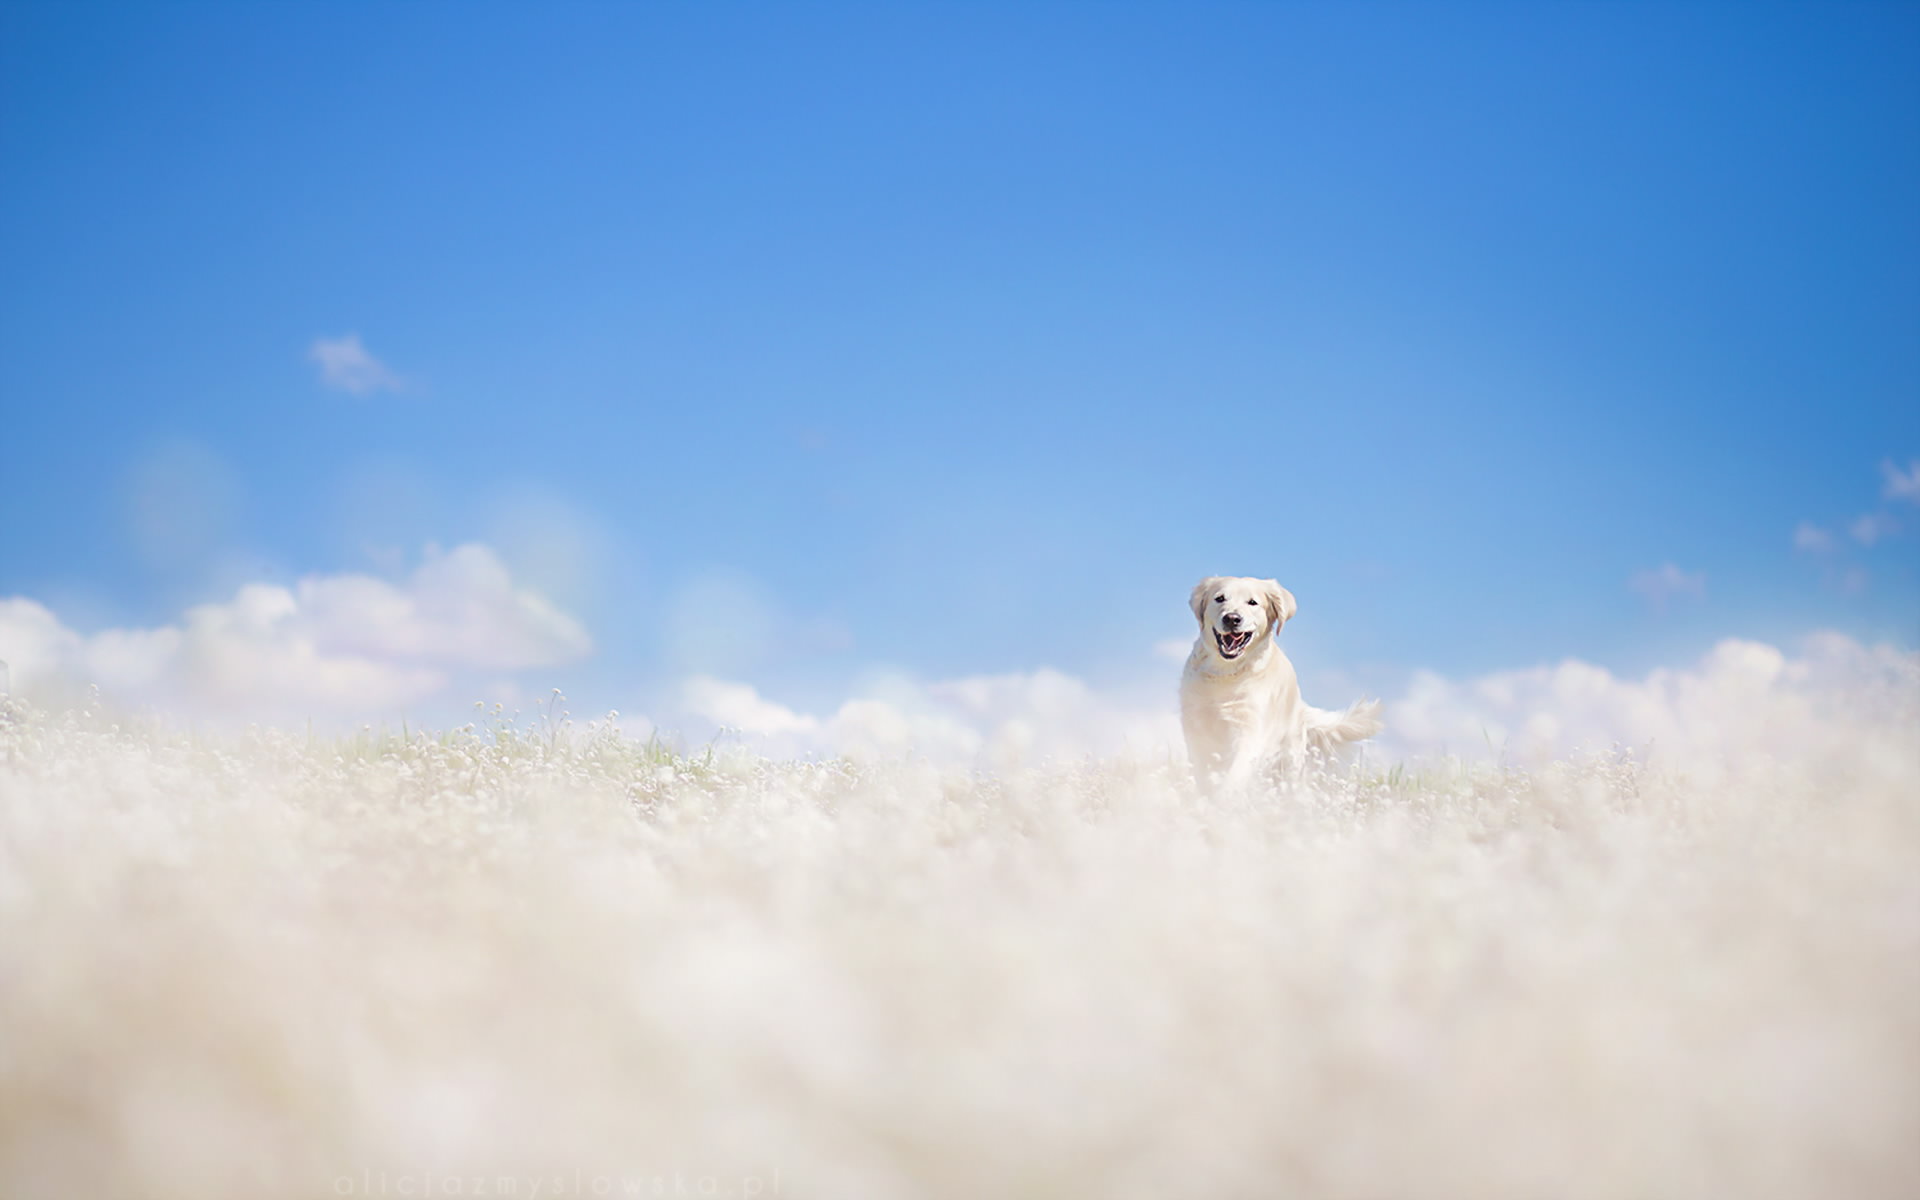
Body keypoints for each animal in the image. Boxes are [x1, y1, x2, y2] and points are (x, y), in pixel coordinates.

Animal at [1182, 572, 1382, 787]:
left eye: (1252, 602)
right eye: (1219, 598)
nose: (1232, 618)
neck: (1226, 671)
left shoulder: (1250, 731)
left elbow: (1234, 775)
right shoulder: (1195, 729)